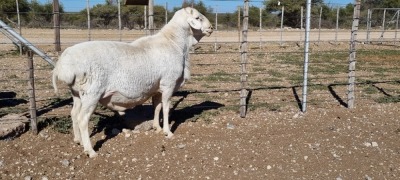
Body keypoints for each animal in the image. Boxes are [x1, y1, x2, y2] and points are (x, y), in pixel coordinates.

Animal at [53, 6, 212, 158]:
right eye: (197, 18)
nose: (211, 28)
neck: (174, 42)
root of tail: (64, 65)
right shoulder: (169, 84)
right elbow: (166, 109)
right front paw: (168, 132)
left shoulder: (157, 88)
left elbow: (157, 108)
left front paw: (157, 127)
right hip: (92, 93)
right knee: (82, 119)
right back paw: (90, 151)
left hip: (77, 93)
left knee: (74, 113)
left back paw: (78, 140)